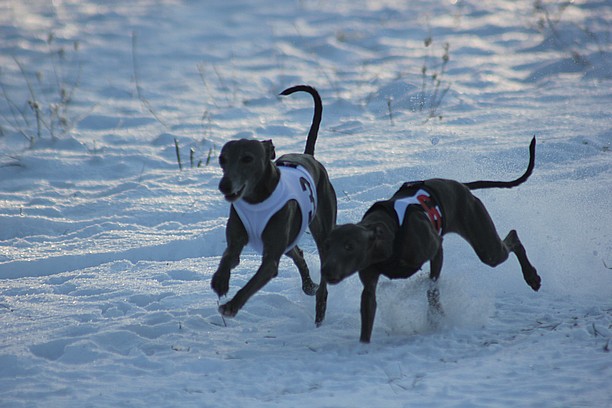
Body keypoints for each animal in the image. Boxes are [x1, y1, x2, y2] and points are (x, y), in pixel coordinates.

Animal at [209, 86, 334, 320]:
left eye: (247, 158)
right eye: (222, 159)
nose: (224, 186)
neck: (257, 200)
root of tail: (308, 156)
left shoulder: (270, 259)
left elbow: (253, 282)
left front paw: (232, 305)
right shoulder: (237, 240)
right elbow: (229, 257)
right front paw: (220, 280)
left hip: (322, 229)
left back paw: (320, 307)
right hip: (290, 238)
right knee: (298, 254)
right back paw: (308, 286)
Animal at [320, 139, 540, 342]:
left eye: (349, 246)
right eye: (327, 246)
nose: (326, 270)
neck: (389, 234)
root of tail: (461, 185)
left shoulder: (435, 248)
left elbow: (430, 283)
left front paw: (433, 314)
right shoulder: (369, 282)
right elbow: (369, 306)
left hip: (487, 246)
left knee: (512, 237)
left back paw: (532, 277)